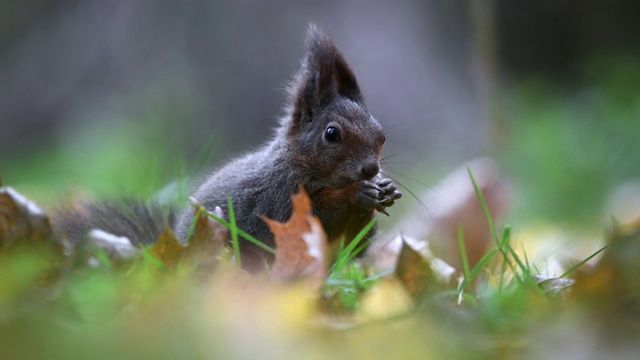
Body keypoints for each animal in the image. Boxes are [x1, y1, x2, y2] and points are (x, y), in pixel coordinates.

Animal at [53, 25, 400, 272]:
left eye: (381, 135)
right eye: (331, 134)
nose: (371, 168)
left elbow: (351, 244)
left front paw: (385, 190)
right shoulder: (280, 195)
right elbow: (314, 215)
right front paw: (359, 193)